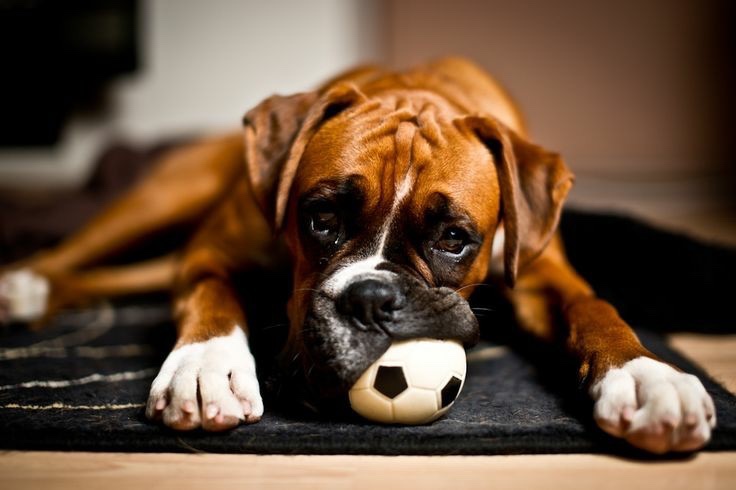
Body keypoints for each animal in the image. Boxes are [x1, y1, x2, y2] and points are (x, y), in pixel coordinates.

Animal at [0, 57, 715, 453]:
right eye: (320, 219)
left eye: (454, 239)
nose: (372, 300)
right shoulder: (210, 252)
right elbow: (212, 297)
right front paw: (207, 367)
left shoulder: (545, 277)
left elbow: (594, 309)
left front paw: (647, 377)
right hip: (163, 195)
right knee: (80, 249)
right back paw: (23, 286)